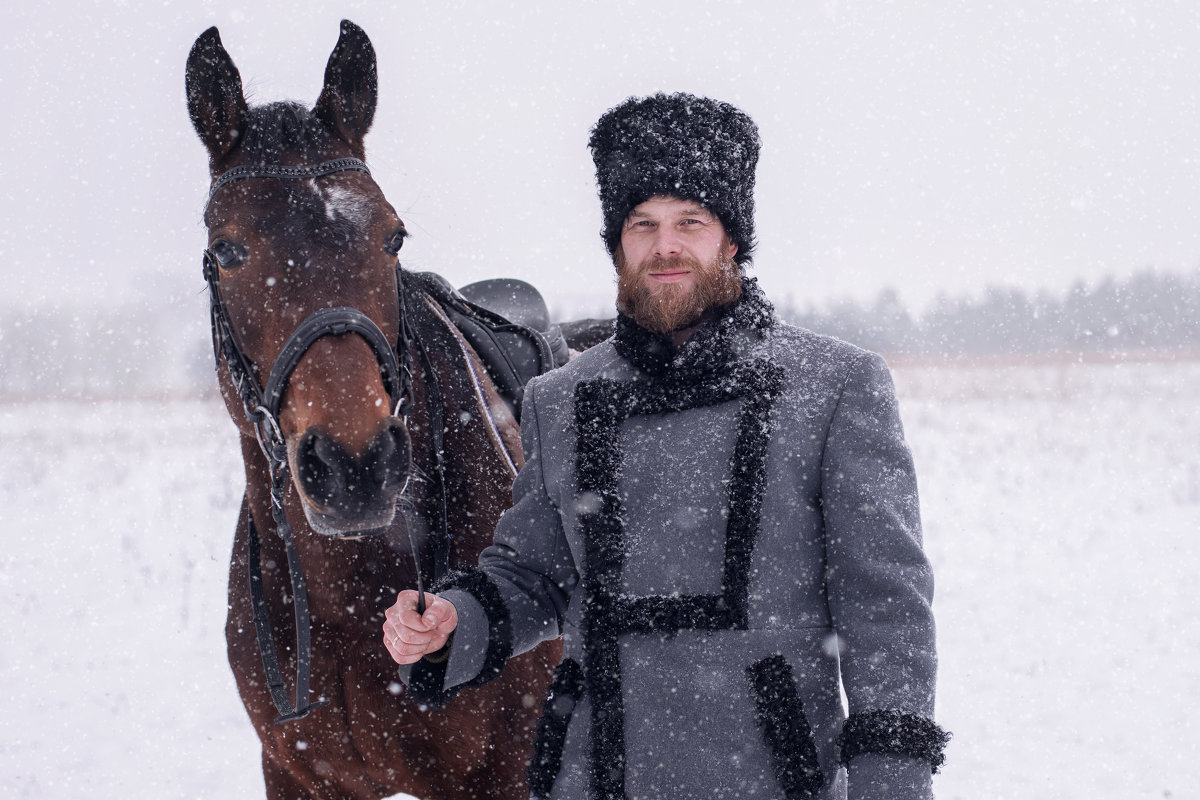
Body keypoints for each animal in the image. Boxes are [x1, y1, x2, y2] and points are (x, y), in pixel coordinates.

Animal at [184, 20, 559, 800]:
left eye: (393, 235)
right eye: (226, 250)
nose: (354, 465)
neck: (349, 595)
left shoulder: (503, 774)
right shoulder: (298, 773)